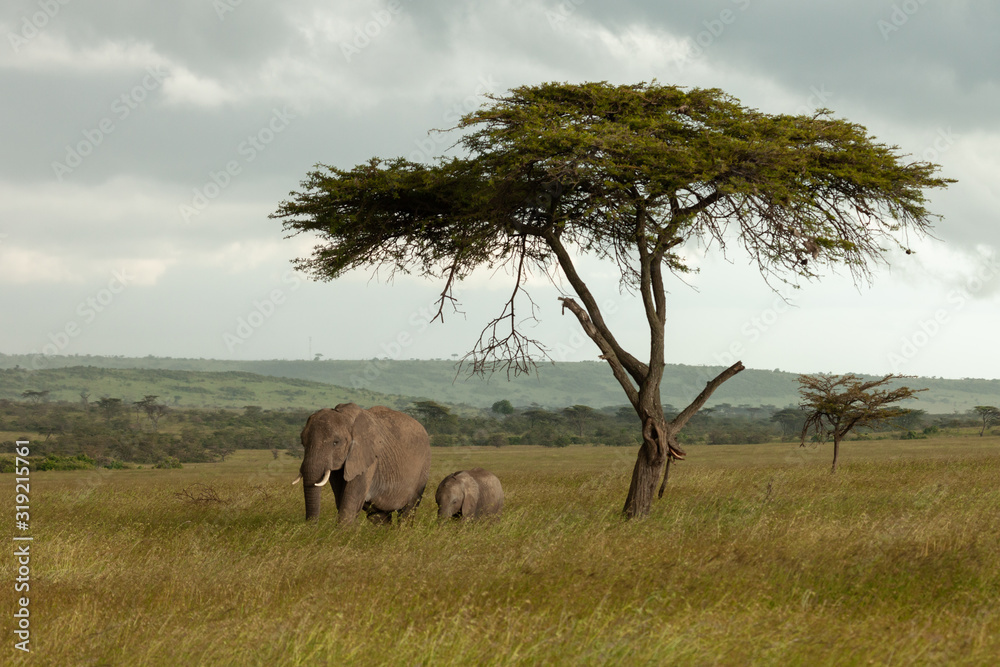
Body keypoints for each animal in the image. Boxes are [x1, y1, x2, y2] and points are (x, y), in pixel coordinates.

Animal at [292, 403, 431, 525]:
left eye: (336, 442)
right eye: (302, 442)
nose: (312, 528)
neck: (345, 415)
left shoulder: (367, 458)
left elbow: (350, 503)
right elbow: (341, 500)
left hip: (423, 468)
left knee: (407, 512)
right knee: (379, 516)